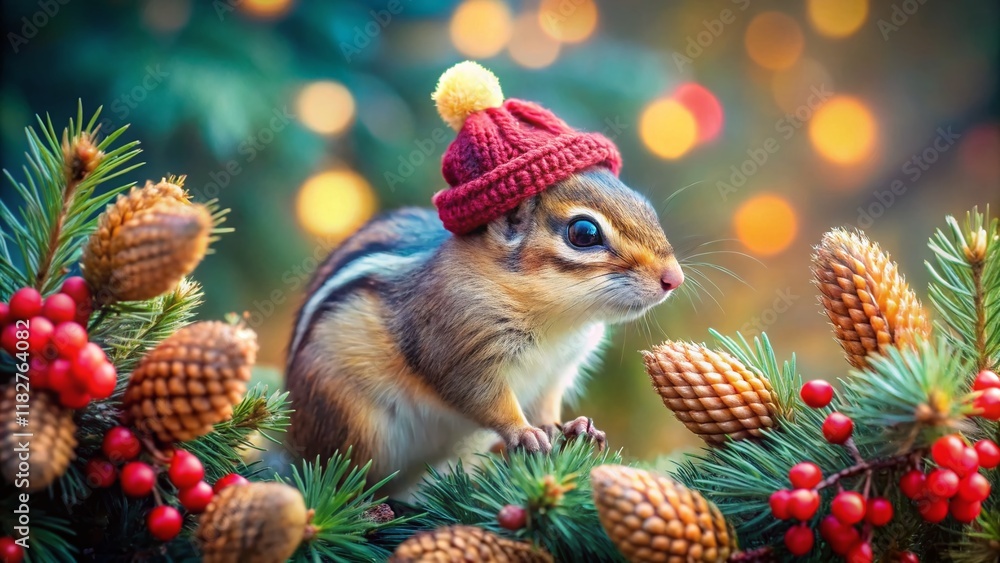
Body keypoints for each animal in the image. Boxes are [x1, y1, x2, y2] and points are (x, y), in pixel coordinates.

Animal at [284, 62, 684, 494]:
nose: (674, 278)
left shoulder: (556, 372)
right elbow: (483, 399)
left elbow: (546, 406)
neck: (559, 319)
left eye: (644, 204)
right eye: (584, 233)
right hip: (352, 422)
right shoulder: (459, 345)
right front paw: (523, 433)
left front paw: (572, 426)